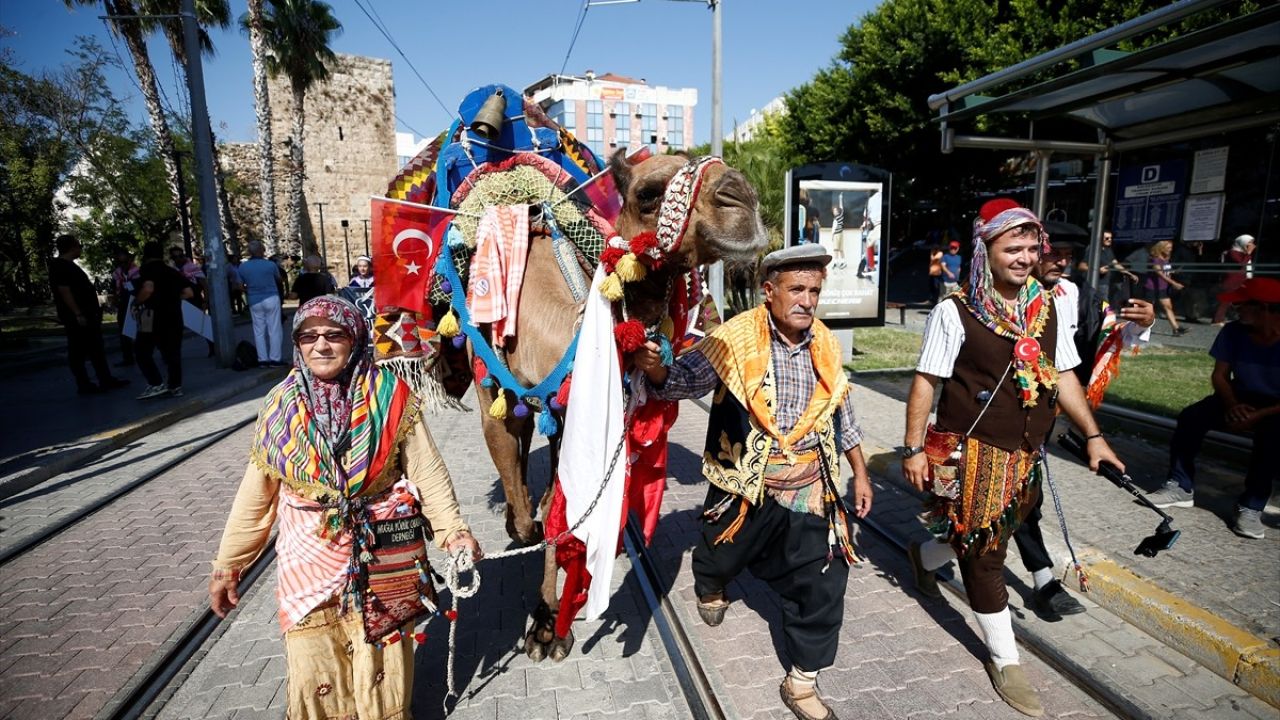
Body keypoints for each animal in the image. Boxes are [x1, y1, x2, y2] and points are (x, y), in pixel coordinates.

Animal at [471, 148, 762, 661]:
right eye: (647, 193)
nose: (741, 198)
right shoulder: (494, 407)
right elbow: (531, 516)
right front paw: (542, 615)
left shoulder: (571, 415)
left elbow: (559, 510)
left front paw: (548, 625)